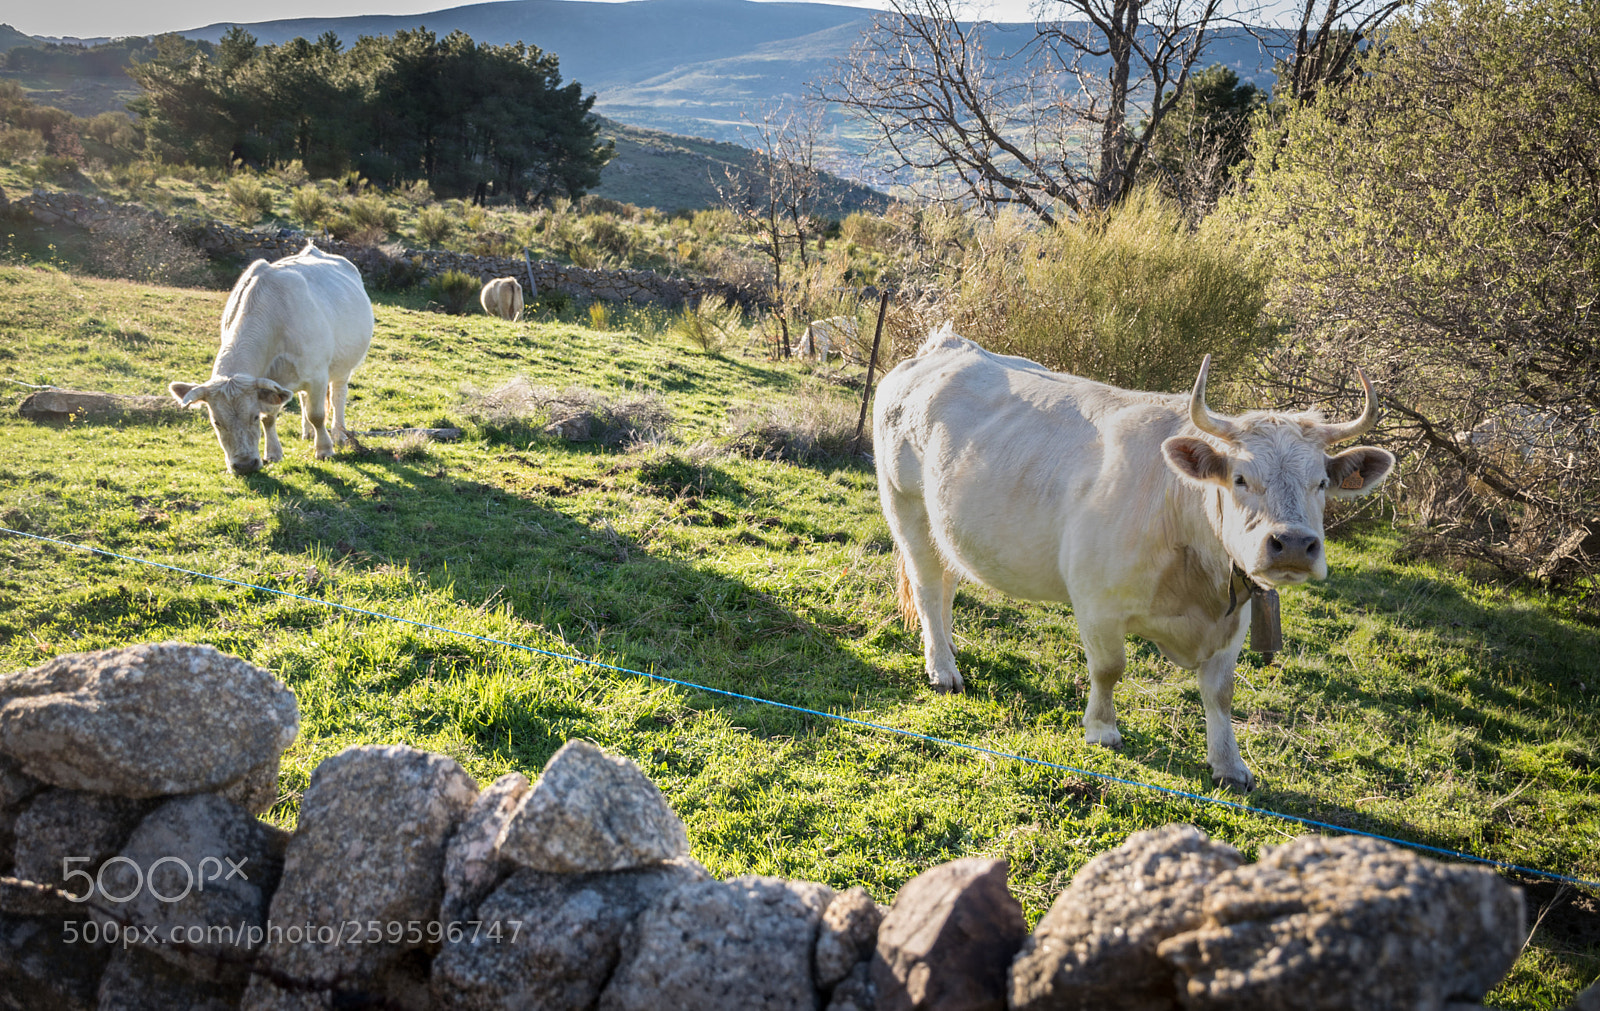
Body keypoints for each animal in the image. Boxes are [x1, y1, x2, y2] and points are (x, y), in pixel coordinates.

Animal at [169, 242, 374, 475]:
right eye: (216, 422)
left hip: (343, 367)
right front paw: (273, 453)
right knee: (303, 397)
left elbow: (317, 414)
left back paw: (339, 434)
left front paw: (324, 450)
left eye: (253, 417)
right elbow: (271, 417)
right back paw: (308, 433)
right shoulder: (272, 382)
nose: (244, 465)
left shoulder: (317, 375)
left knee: (338, 395)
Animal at [873, 326, 1395, 791]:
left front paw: (1229, 764)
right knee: (926, 586)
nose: (1292, 544)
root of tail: (944, 346)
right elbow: (1109, 668)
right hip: (906, 506)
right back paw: (942, 668)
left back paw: (947, 647)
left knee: (946, 584)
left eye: (1321, 482)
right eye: (1241, 479)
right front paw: (1102, 730)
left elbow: (1220, 692)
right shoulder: (1097, 602)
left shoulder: (1236, 616)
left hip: (948, 527)